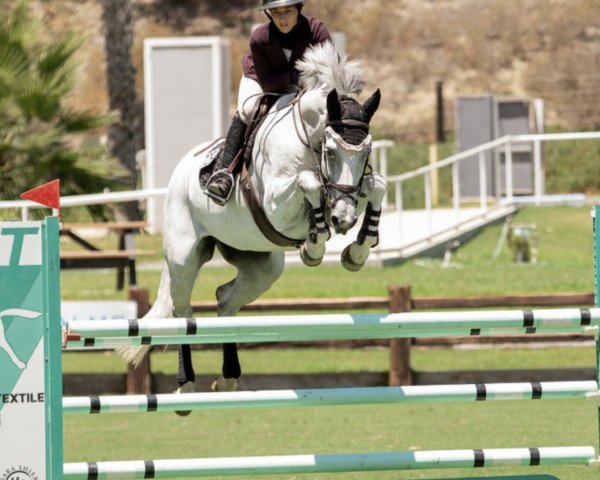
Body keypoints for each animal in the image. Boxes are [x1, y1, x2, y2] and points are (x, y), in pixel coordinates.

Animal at [119, 42, 386, 404]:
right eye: (331, 150)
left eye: (366, 152)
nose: (342, 220)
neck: (308, 141)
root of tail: (180, 171)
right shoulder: (276, 201)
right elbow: (308, 183)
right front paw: (314, 247)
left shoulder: (349, 191)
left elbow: (377, 186)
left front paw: (356, 250)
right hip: (183, 255)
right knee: (183, 311)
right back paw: (186, 386)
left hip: (261, 266)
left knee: (225, 299)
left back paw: (228, 379)